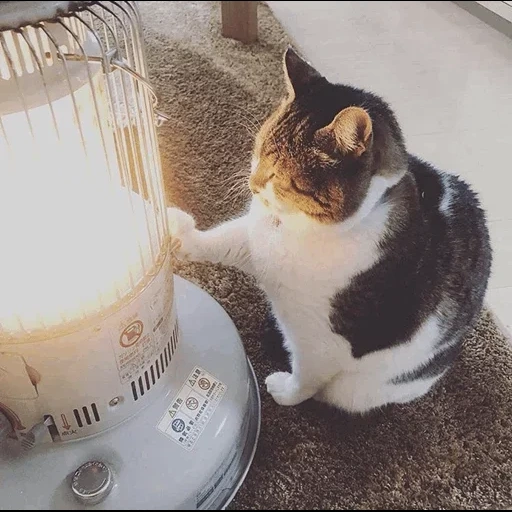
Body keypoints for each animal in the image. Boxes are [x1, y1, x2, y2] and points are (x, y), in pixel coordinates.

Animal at [168, 47, 492, 416]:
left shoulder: (321, 341)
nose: (252, 184)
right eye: (258, 150)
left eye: (280, 175)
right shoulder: (255, 240)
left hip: (361, 387)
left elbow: (307, 378)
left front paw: (286, 392)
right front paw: (179, 235)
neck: (296, 229)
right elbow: (220, 240)